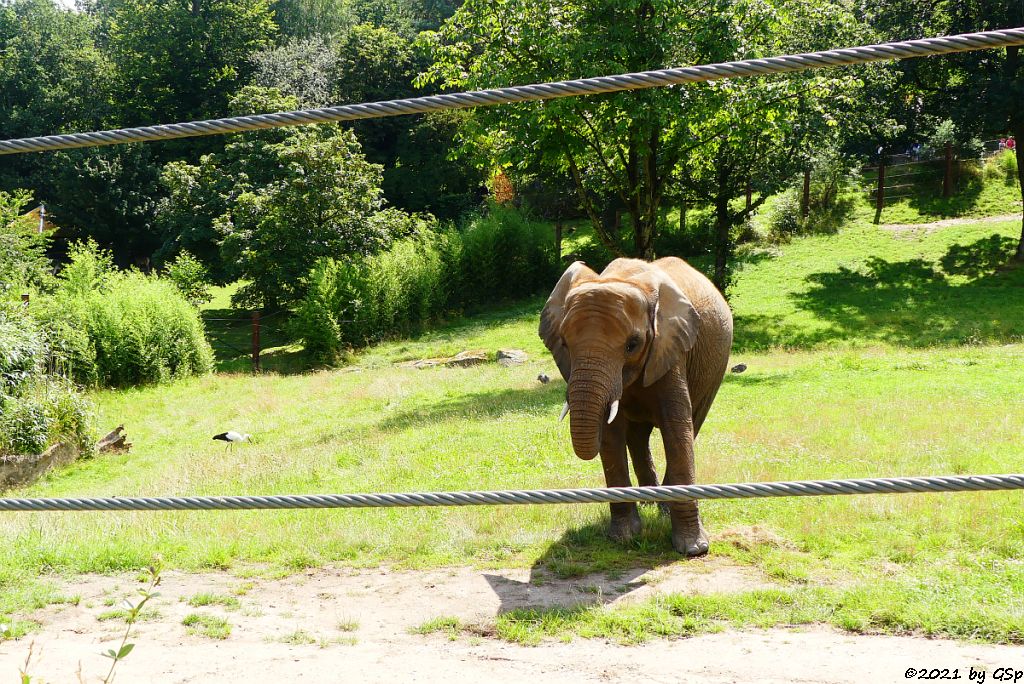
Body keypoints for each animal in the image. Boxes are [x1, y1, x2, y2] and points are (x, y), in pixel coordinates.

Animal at [540, 255, 733, 557]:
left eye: (632, 345)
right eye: (564, 344)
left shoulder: (670, 348)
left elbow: (677, 430)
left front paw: (693, 549)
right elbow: (611, 437)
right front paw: (623, 538)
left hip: (713, 371)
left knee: (693, 422)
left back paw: (662, 507)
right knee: (638, 437)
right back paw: (649, 502)